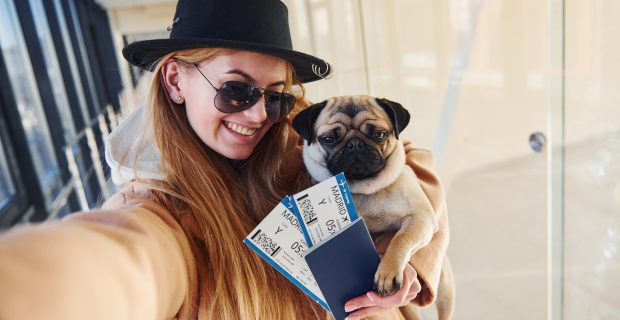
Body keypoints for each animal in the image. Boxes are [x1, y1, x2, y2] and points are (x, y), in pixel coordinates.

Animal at [294, 94, 452, 318]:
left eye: (379, 134)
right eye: (329, 139)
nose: (355, 144)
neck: (364, 190)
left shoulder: (421, 218)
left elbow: (400, 239)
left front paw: (388, 272)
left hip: (446, 288)